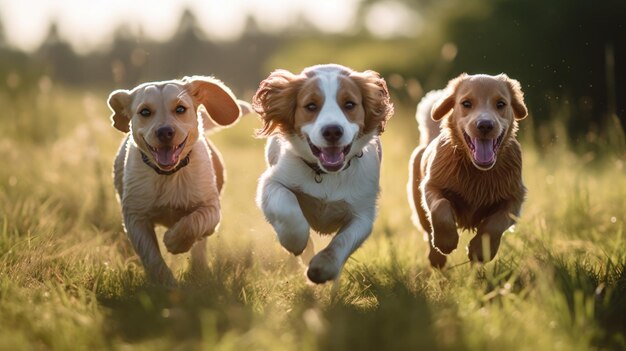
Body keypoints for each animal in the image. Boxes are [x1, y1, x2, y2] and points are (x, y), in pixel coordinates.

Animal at [107, 75, 244, 284]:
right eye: (145, 111)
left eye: (180, 109)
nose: (165, 132)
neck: (169, 175)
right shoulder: (135, 217)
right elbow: (152, 256)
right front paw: (167, 284)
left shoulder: (211, 208)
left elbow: (193, 222)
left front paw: (174, 241)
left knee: (199, 246)